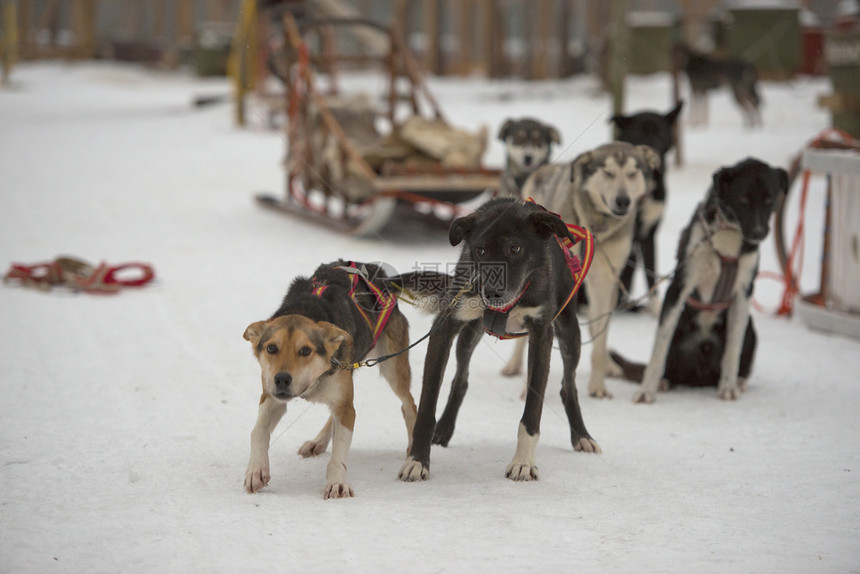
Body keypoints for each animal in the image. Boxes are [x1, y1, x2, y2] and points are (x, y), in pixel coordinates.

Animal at [242, 260, 416, 500]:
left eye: (305, 350)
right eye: (271, 348)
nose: (282, 379)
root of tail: (382, 277)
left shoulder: (344, 404)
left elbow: (339, 454)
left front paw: (337, 483)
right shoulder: (272, 398)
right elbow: (258, 431)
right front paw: (256, 470)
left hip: (393, 368)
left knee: (409, 405)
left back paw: (415, 457)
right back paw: (318, 442)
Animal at [394, 200, 596, 484]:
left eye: (515, 248)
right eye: (480, 250)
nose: (491, 293)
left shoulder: (542, 334)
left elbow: (532, 410)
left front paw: (523, 462)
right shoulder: (445, 327)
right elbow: (426, 406)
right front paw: (416, 461)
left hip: (569, 331)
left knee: (568, 386)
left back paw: (582, 435)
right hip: (470, 334)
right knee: (460, 379)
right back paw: (444, 429)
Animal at [504, 142, 660, 400]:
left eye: (632, 173)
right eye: (607, 173)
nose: (623, 201)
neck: (595, 227)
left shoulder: (604, 281)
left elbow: (599, 337)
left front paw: (598, 386)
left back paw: (609, 364)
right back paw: (513, 364)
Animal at [612, 101, 684, 312]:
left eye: (660, 133)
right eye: (639, 134)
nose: (653, 154)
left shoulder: (648, 235)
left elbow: (651, 273)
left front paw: (656, 308)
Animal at [616, 158, 788, 400]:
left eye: (769, 201)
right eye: (743, 200)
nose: (758, 233)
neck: (726, 237)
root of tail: (700, 374)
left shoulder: (744, 294)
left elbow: (733, 350)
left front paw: (728, 387)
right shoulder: (679, 287)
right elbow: (660, 346)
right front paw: (646, 389)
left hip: (750, 329)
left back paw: (738, 381)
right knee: (670, 365)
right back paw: (663, 381)